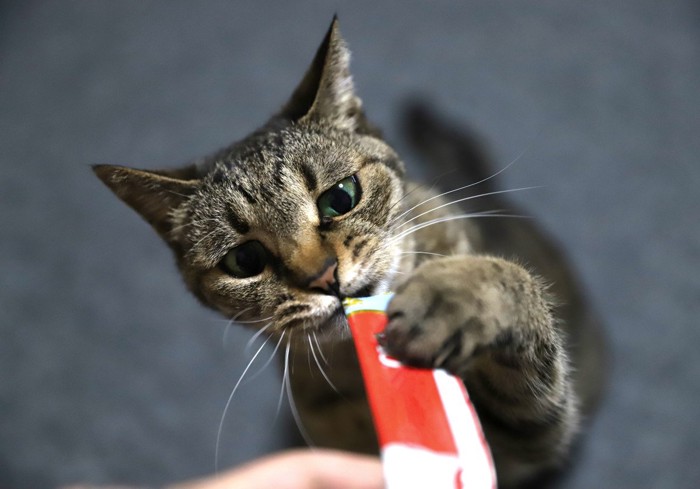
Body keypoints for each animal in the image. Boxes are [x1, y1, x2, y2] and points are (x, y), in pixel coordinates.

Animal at [94, 17, 608, 486]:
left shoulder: (531, 438)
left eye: (340, 198)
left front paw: (453, 297)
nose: (323, 276)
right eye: (244, 261)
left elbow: (508, 284)